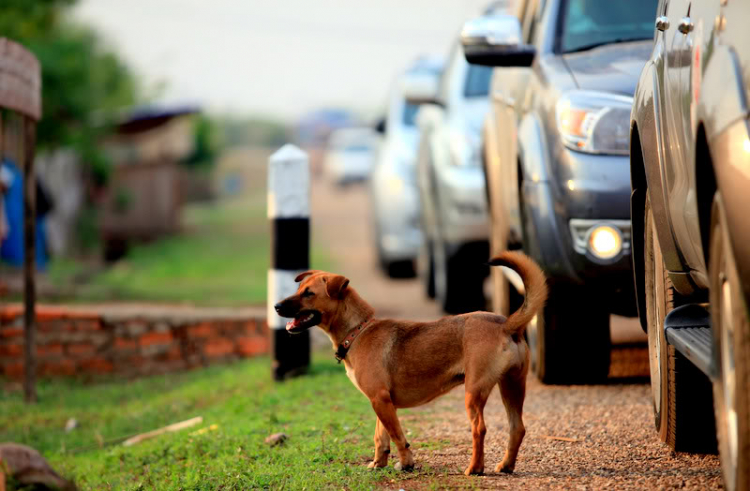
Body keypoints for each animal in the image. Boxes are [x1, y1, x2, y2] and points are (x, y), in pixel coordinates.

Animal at [276, 252, 548, 474]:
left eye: (308, 294)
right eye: (299, 289)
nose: (277, 306)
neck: (358, 331)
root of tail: (506, 324)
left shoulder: (380, 399)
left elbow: (397, 436)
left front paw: (406, 464)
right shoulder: (381, 402)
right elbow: (381, 437)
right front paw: (378, 464)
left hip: (474, 392)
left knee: (479, 429)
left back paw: (475, 469)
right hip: (512, 386)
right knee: (517, 428)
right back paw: (506, 466)